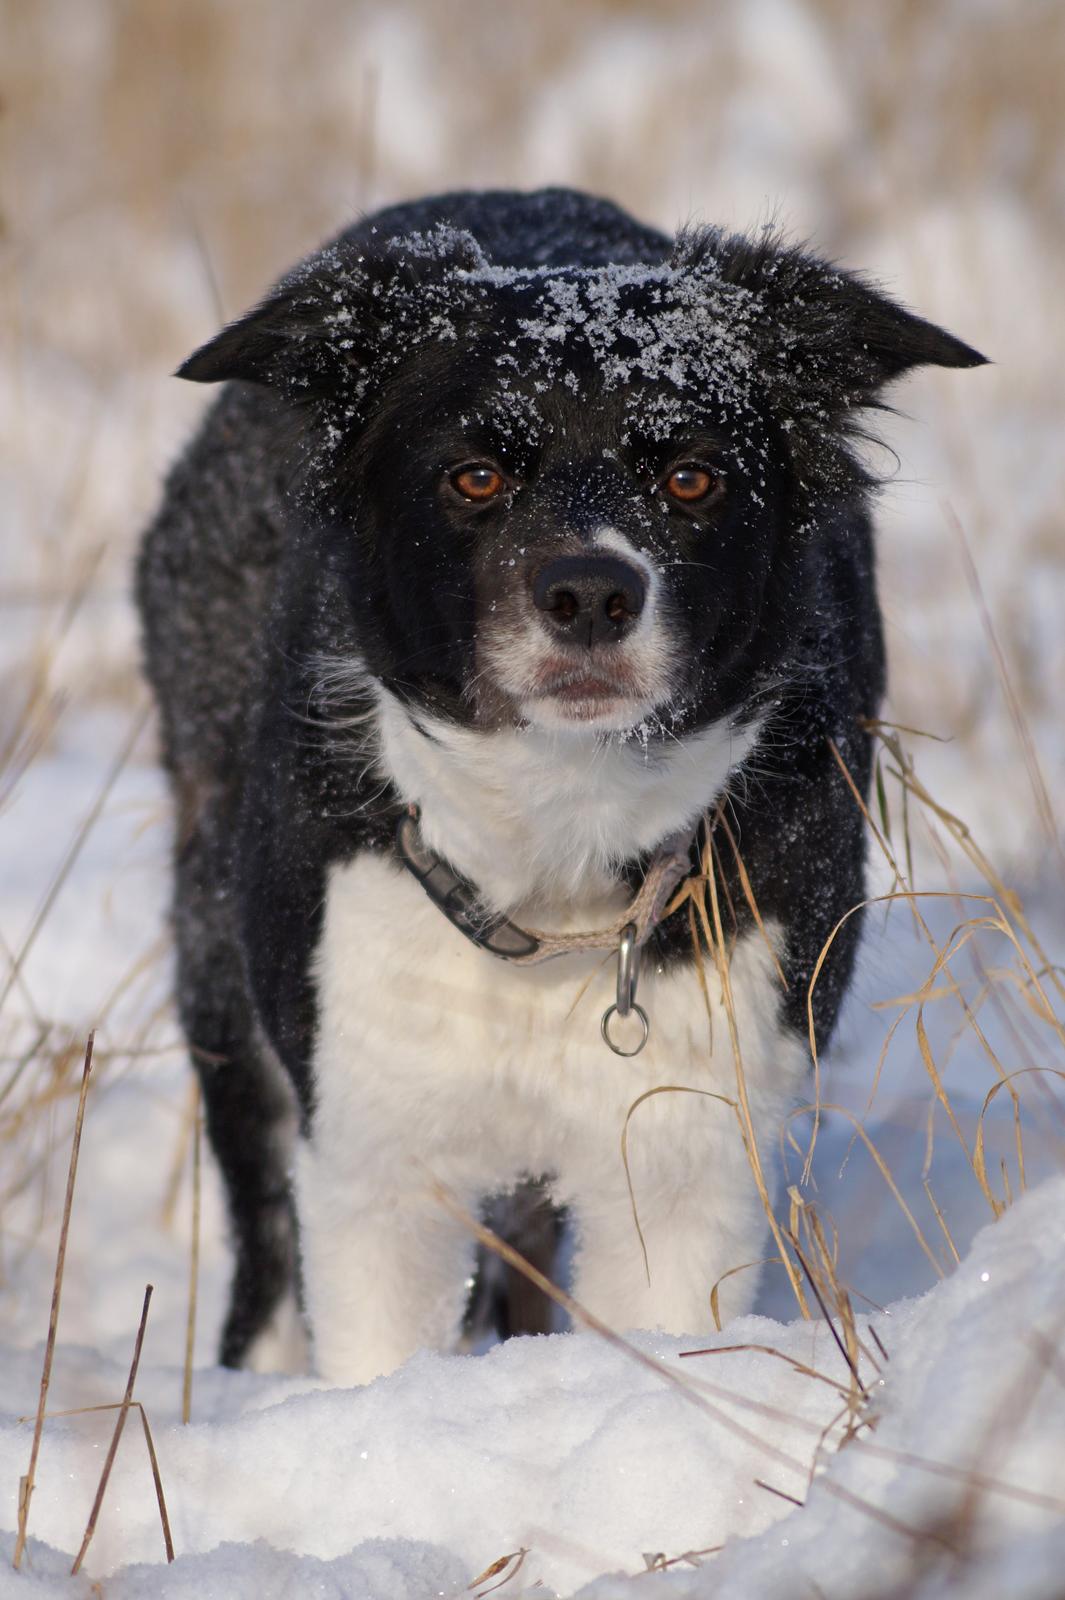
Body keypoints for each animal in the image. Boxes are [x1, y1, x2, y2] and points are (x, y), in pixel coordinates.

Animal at [136, 190, 985, 1388]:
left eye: (690, 476)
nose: (589, 592)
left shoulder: (686, 1143)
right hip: (220, 956)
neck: (554, 856)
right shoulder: (375, 1150)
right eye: (475, 476)